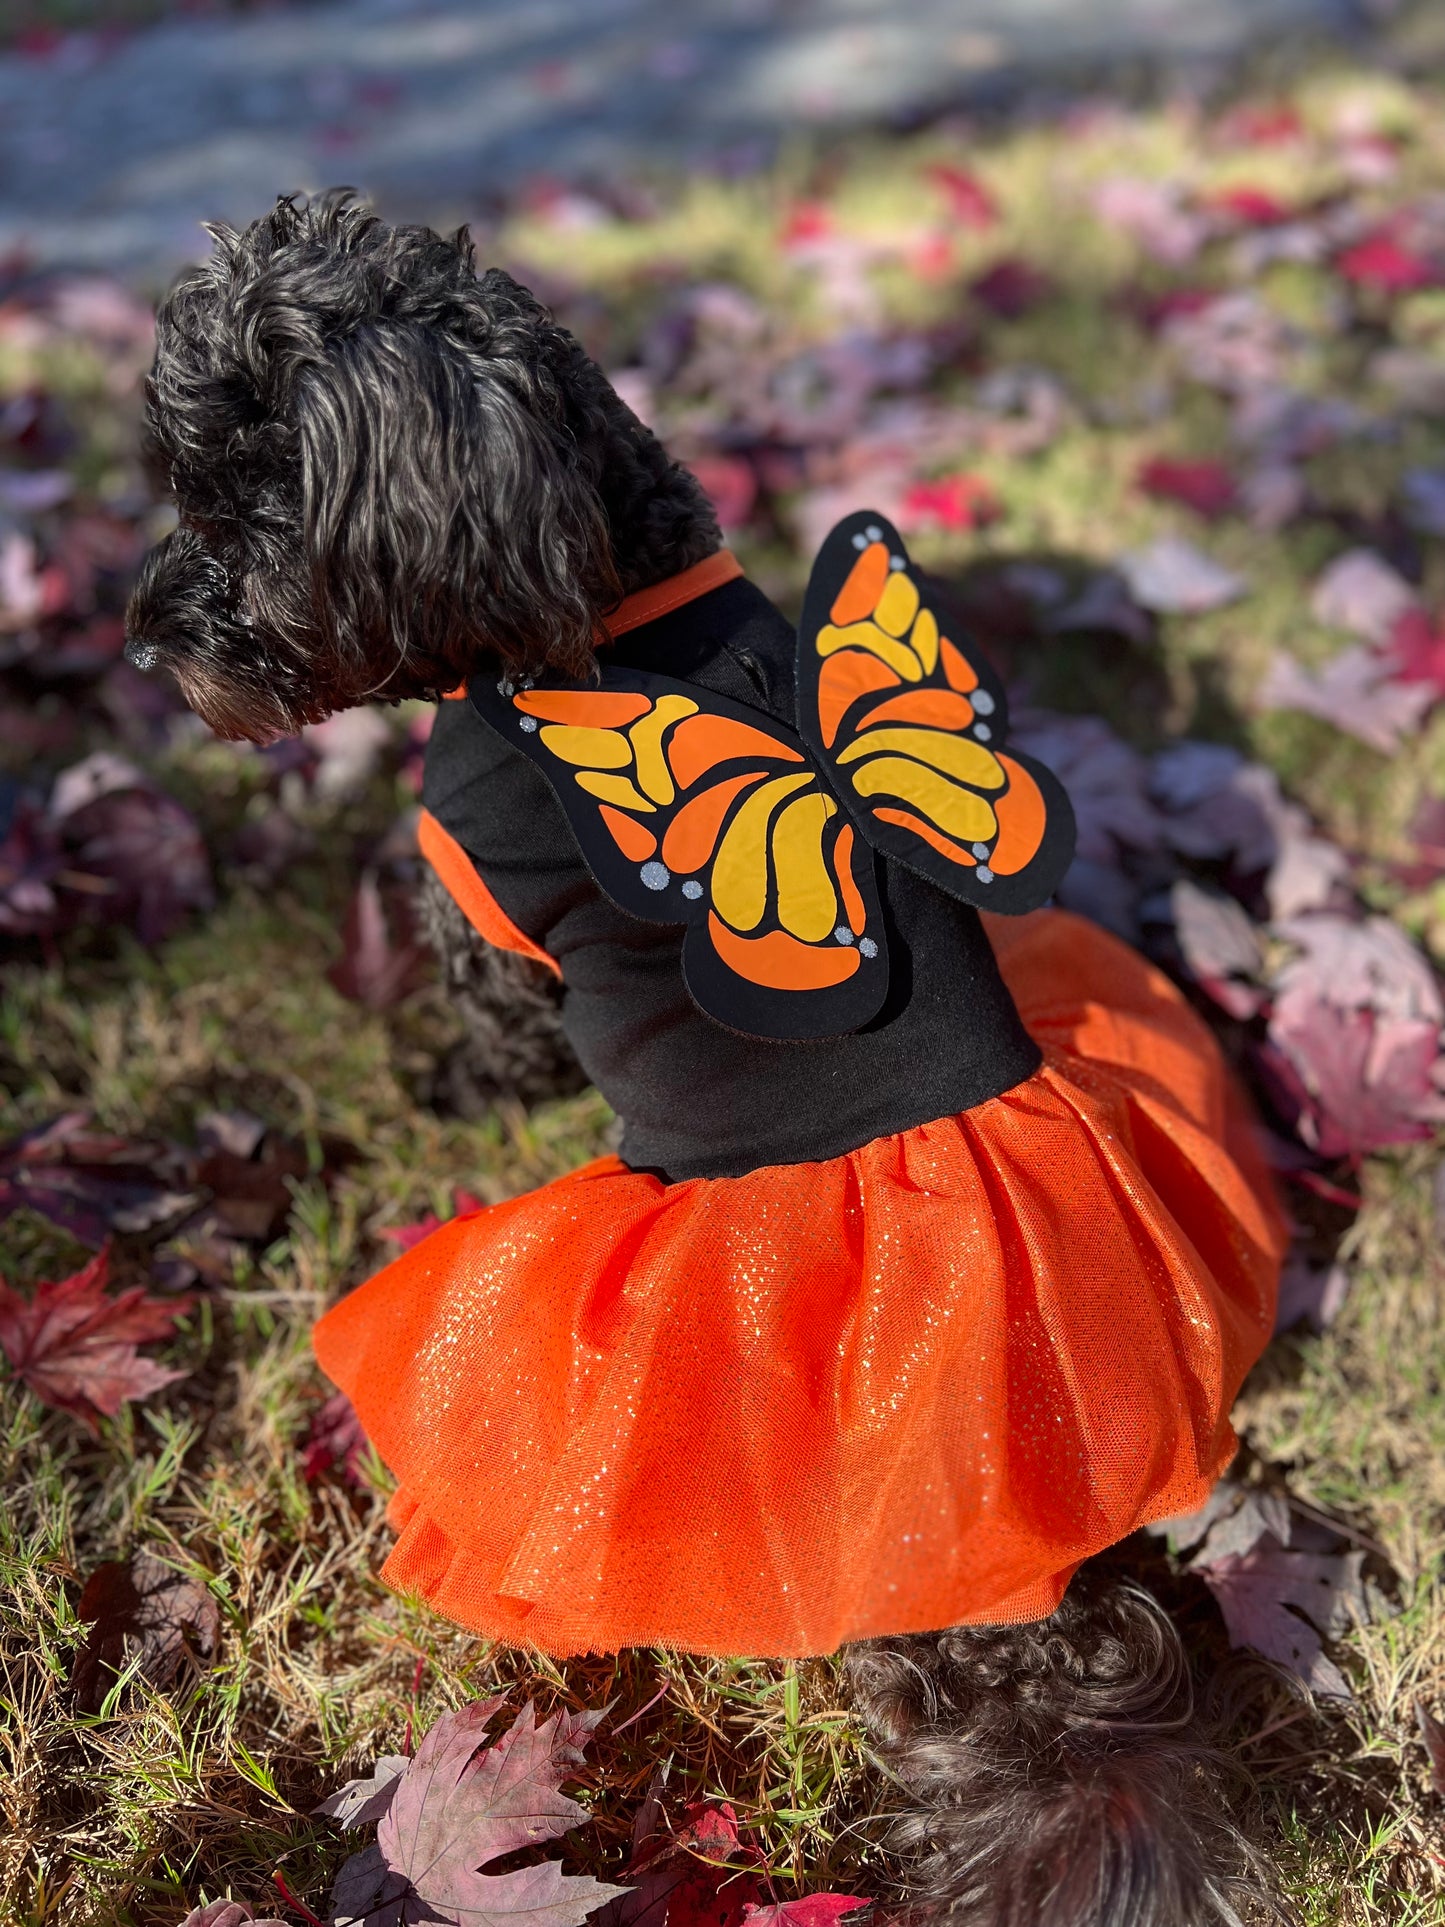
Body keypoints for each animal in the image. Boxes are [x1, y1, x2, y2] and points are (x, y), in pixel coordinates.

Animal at [121, 195, 1279, 1927]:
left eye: (257, 500)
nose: (150, 637)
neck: (612, 578)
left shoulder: (480, 905)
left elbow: (489, 1023)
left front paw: (440, 1081)